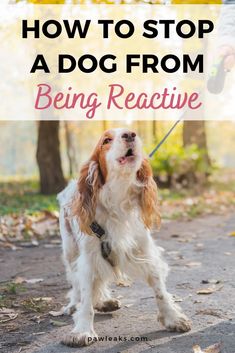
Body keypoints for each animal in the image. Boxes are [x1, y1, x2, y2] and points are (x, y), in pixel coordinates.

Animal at [57, 127, 191, 346]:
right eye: (106, 140)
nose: (130, 134)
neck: (118, 197)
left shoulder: (145, 250)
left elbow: (160, 290)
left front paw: (172, 317)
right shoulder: (88, 258)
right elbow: (85, 296)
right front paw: (82, 330)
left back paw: (104, 301)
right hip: (70, 251)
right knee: (76, 283)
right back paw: (74, 304)